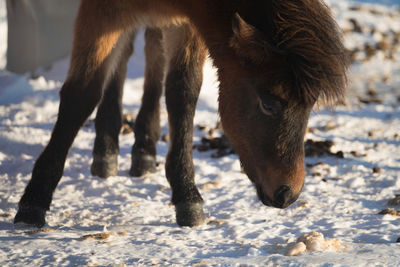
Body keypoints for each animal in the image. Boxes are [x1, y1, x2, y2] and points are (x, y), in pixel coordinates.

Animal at [14, 0, 348, 229]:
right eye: (268, 103)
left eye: (310, 106)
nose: (288, 193)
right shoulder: (102, 10)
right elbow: (82, 93)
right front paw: (34, 200)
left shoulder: (187, 21)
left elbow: (182, 92)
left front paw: (186, 194)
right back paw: (106, 149)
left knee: (149, 52)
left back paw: (141, 149)